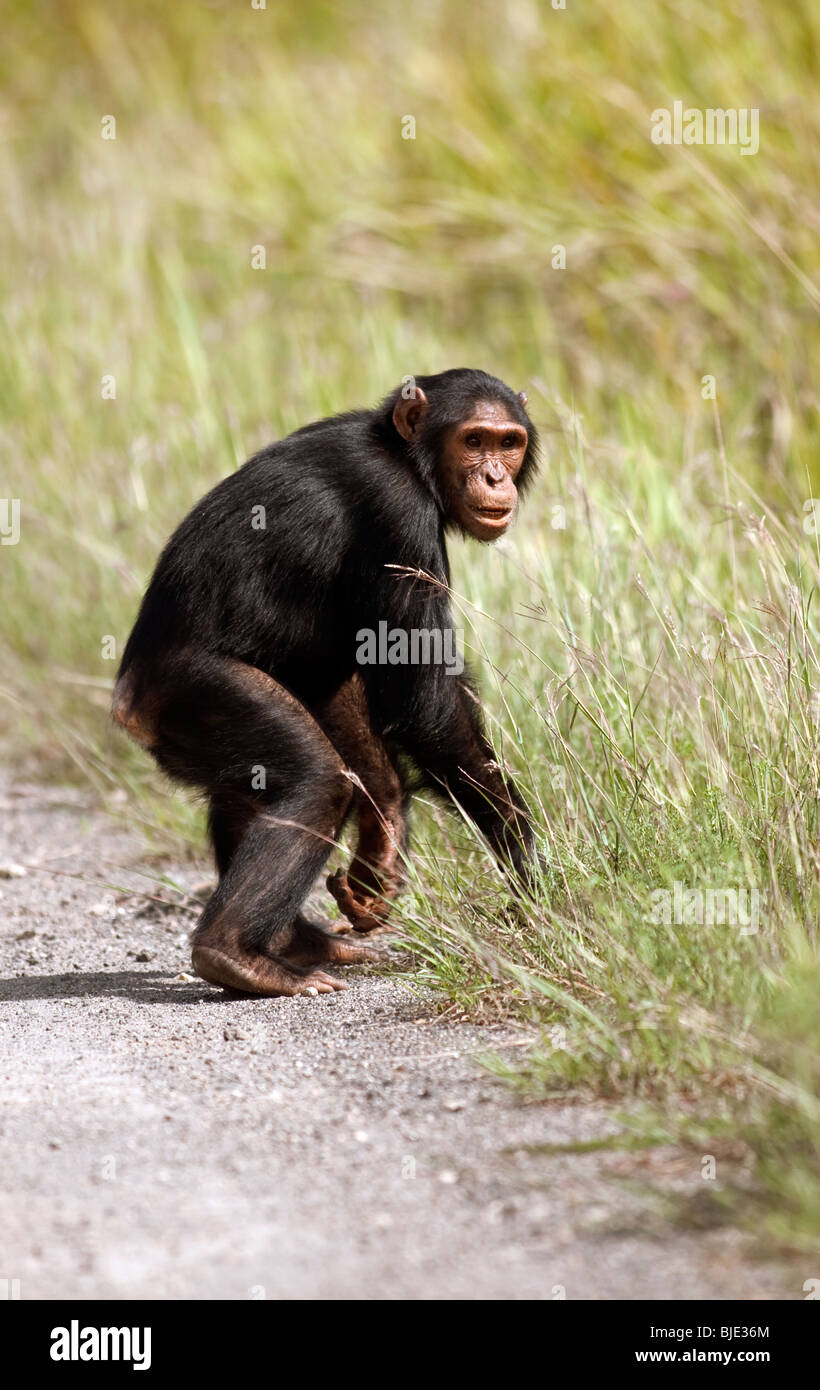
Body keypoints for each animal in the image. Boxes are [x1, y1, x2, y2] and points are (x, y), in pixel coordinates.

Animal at [113, 369, 539, 995]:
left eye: (509, 443)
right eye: (474, 440)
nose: (494, 475)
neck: (408, 458)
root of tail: (129, 704)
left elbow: (361, 669)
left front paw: (383, 843)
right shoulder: (398, 513)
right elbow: (424, 702)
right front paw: (527, 859)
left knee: (253, 789)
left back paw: (298, 941)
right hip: (193, 695)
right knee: (315, 783)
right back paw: (234, 955)